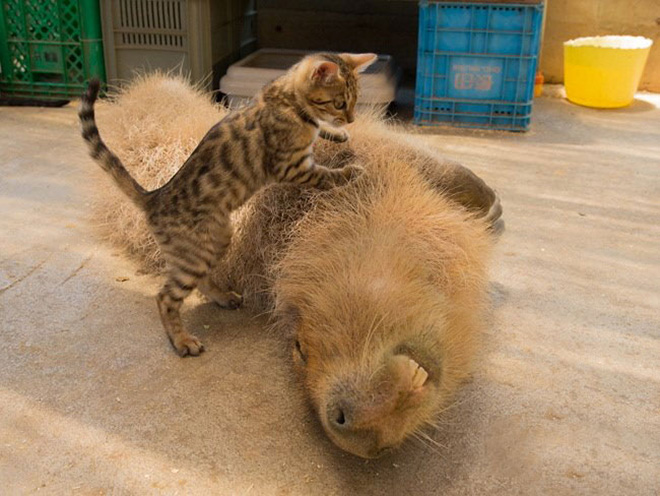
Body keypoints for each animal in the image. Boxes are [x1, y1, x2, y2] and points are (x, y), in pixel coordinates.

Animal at [81, 52, 376, 356]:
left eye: (355, 101)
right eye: (339, 103)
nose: (351, 119)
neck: (285, 99)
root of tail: (154, 196)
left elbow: (319, 128)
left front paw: (335, 134)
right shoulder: (293, 168)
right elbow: (328, 174)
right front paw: (352, 171)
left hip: (217, 239)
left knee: (200, 280)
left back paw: (223, 297)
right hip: (193, 256)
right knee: (165, 298)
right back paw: (182, 340)